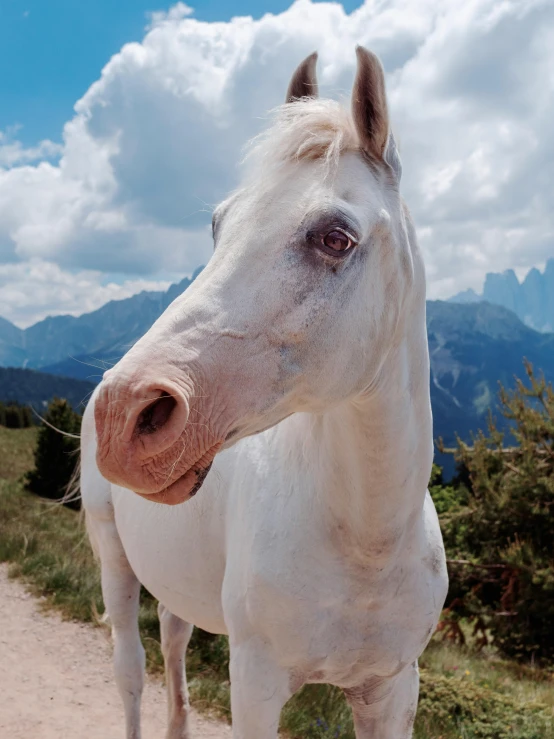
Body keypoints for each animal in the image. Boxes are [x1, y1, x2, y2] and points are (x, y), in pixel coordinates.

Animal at [81, 47, 444, 739]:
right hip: (113, 557)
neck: (366, 547)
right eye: (218, 225)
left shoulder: (392, 689)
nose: (123, 414)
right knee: (129, 671)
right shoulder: (256, 684)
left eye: (335, 237)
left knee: (172, 645)